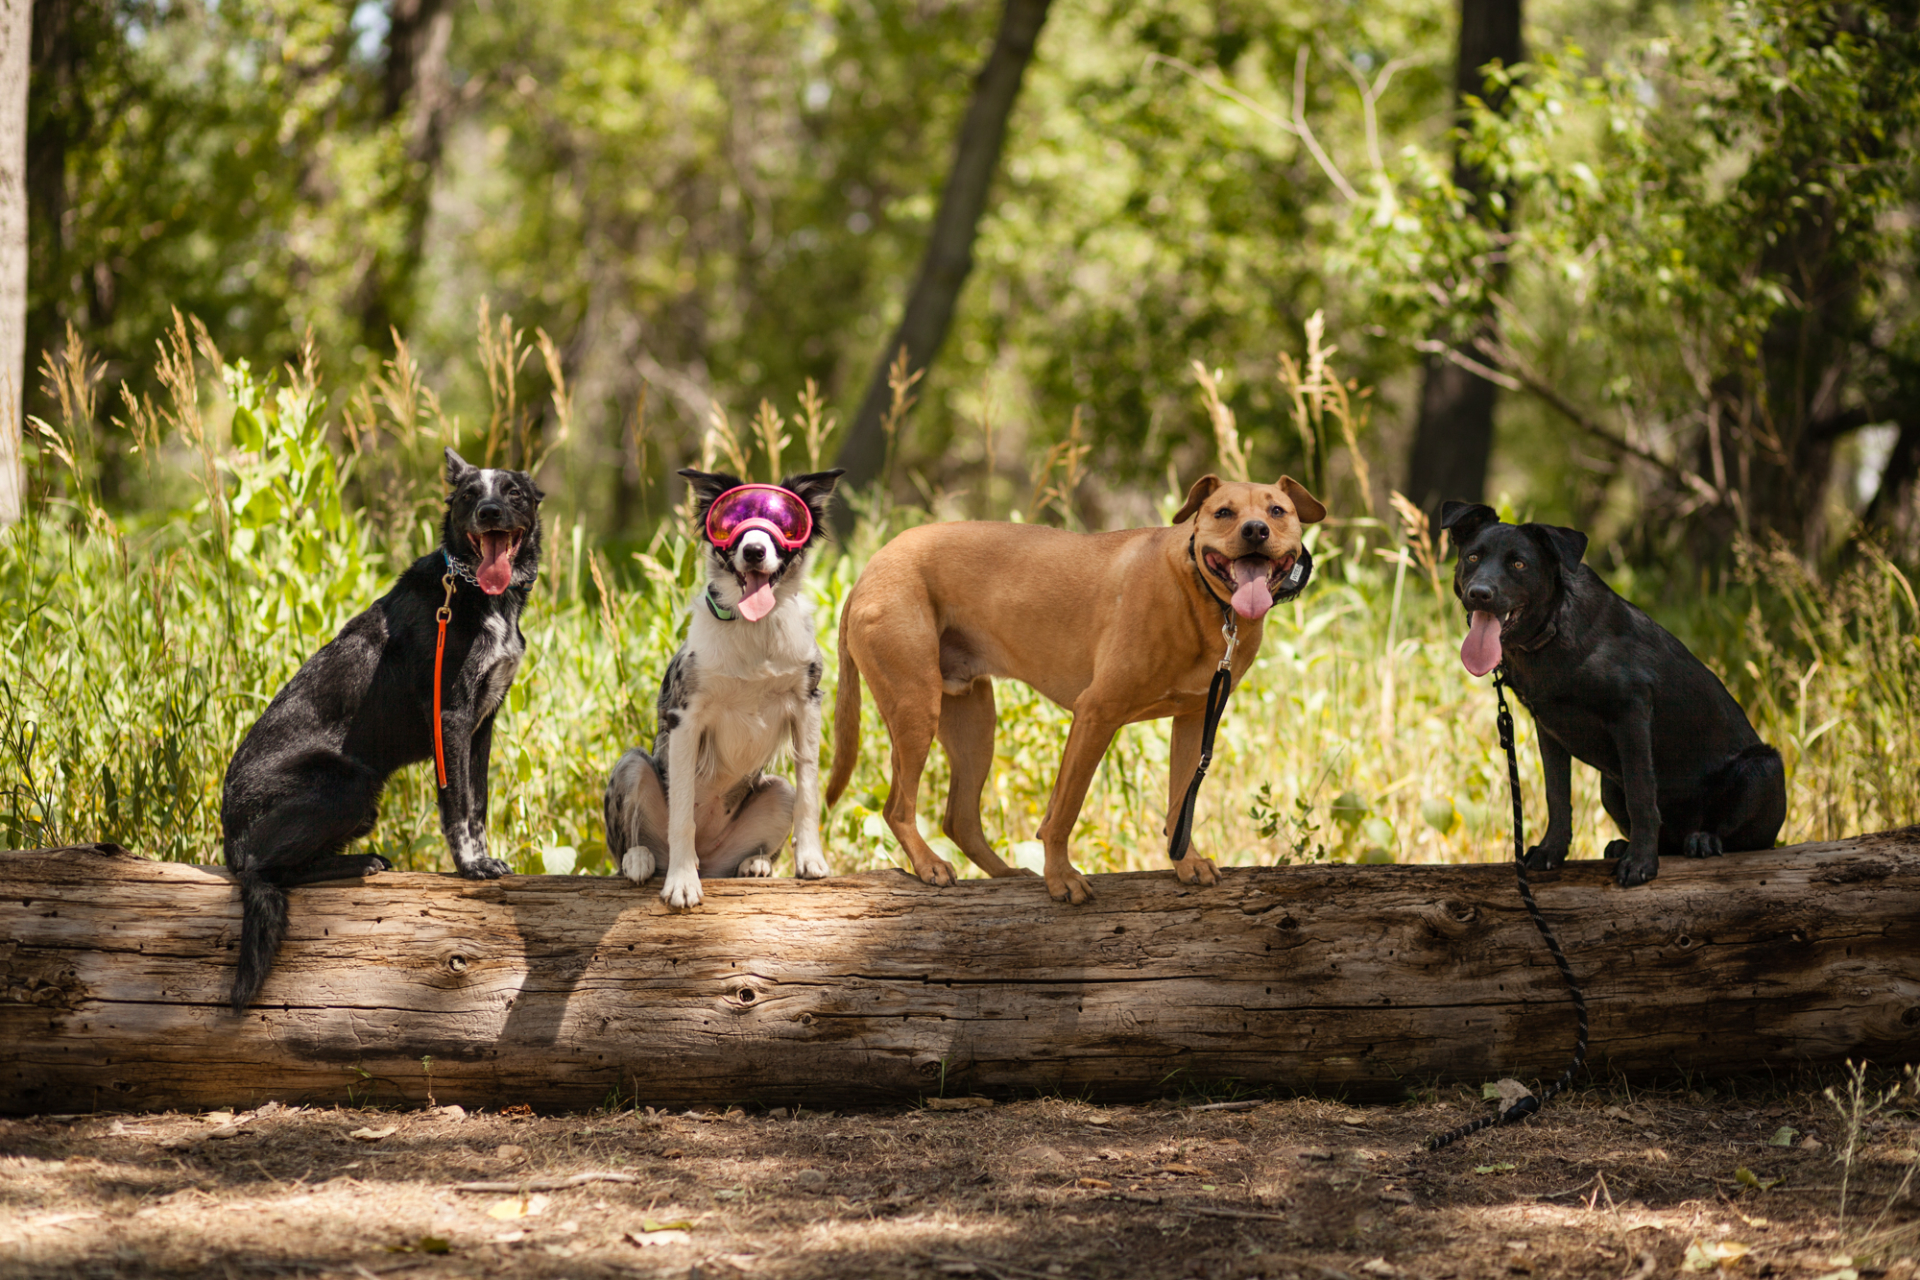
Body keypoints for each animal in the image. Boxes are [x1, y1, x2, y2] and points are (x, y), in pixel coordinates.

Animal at [219, 450, 545, 1013]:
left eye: (512, 492)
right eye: (468, 496)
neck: (472, 591)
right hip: (351, 783)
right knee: (264, 869)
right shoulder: (451, 718)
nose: (488, 513)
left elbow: (478, 805)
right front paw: (471, 868)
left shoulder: (483, 725)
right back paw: (361, 863)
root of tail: (228, 836)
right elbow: (458, 806)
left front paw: (484, 858)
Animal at [599, 470, 840, 909]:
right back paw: (640, 860)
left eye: (784, 522)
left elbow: (810, 792)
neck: (754, 628)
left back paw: (755, 864)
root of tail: (709, 861)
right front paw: (681, 881)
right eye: (730, 523)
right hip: (630, 765)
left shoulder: (807, 705)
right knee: (630, 845)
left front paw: (810, 859)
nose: (755, 551)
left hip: (778, 791)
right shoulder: (685, 718)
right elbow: (682, 816)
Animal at [825, 475, 1320, 905]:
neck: (1204, 600)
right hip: (916, 708)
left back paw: (1008, 875)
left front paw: (1187, 863)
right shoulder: (1096, 713)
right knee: (897, 807)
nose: (1255, 530)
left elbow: (1180, 804)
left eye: (1277, 511)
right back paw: (930, 865)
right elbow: (1063, 812)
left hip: (973, 724)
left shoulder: (1195, 720)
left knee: (959, 818)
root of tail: (869, 570)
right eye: (1223, 512)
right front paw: (1061, 878)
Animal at [1443, 502, 1781, 890]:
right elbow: (1557, 796)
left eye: (1519, 564)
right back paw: (1626, 845)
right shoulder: (1549, 729)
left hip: (1763, 767)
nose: (1479, 593)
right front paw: (1551, 852)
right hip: (1609, 786)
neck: (1553, 630)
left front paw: (1641, 863)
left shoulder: (1631, 713)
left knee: (1748, 839)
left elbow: (1642, 796)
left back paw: (1703, 840)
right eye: (1472, 557)